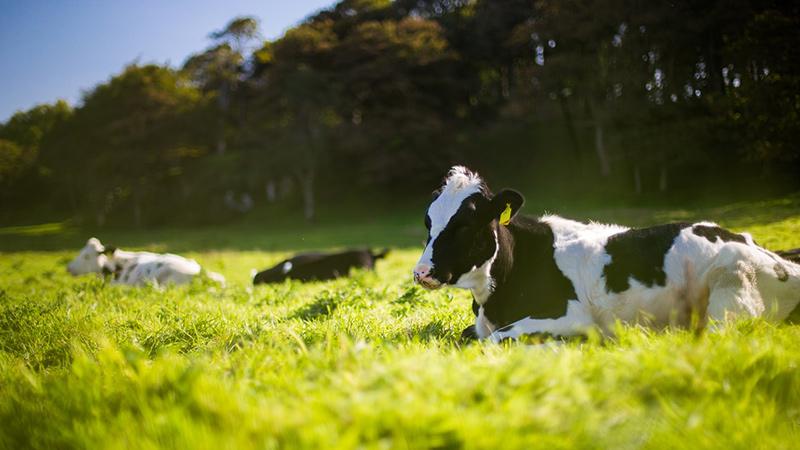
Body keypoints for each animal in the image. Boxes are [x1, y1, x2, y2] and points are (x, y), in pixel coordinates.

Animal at [412, 167, 800, 342]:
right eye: (428, 221)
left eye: (465, 225)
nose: (421, 272)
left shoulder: (571, 317)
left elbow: (495, 339)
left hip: (731, 290)